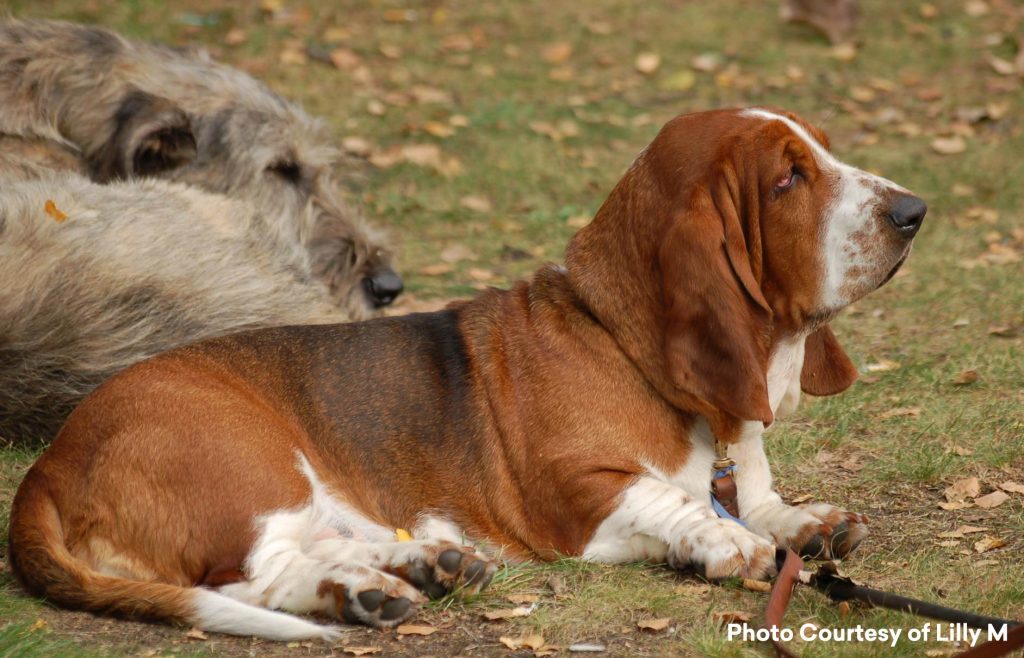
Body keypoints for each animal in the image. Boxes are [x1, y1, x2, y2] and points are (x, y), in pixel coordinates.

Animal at [8, 106, 925, 638]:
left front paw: (803, 524)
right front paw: (725, 538)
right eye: (789, 177)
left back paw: (424, 567)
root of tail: (50, 465)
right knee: (257, 575)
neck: (624, 344)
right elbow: (675, 500)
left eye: (823, 155)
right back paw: (365, 594)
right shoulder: (578, 498)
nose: (915, 210)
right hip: (254, 466)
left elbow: (761, 498)